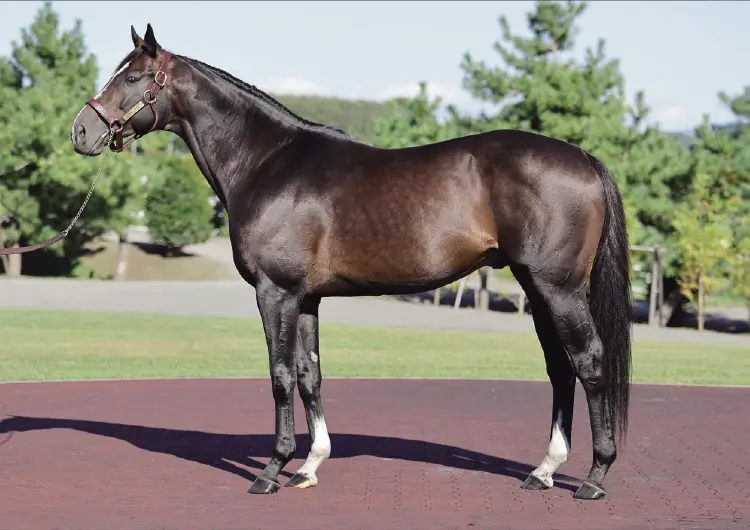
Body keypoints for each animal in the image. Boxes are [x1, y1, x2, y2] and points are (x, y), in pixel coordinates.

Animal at [70, 24, 632, 500]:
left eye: (134, 77)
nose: (81, 132)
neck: (268, 162)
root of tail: (584, 158)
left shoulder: (275, 291)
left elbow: (279, 375)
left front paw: (272, 470)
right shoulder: (306, 298)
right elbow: (309, 374)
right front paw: (309, 465)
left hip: (558, 288)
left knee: (589, 362)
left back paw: (595, 476)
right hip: (537, 288)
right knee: (560, 369)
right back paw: (544, 470)